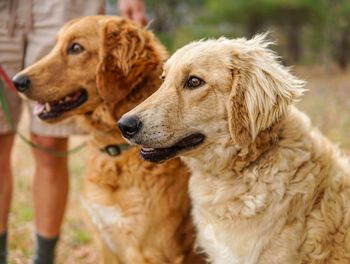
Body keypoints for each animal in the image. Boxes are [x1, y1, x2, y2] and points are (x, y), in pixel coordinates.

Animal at [13, 16, 204, 264]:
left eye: (76, 48)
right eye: (56, 45)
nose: (17, 81)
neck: (115, 151)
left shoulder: (153, 251)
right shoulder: (107, 243)